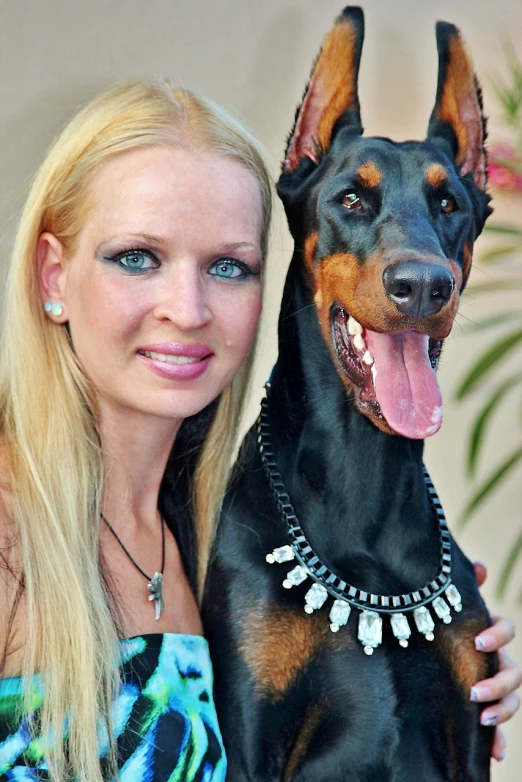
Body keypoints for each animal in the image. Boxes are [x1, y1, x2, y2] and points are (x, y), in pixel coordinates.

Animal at [201, 7, 494, 782]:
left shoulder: (471, 731)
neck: (364, 477)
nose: (424, 286)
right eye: (352, 198)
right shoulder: (249, 738)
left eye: (449, 203)